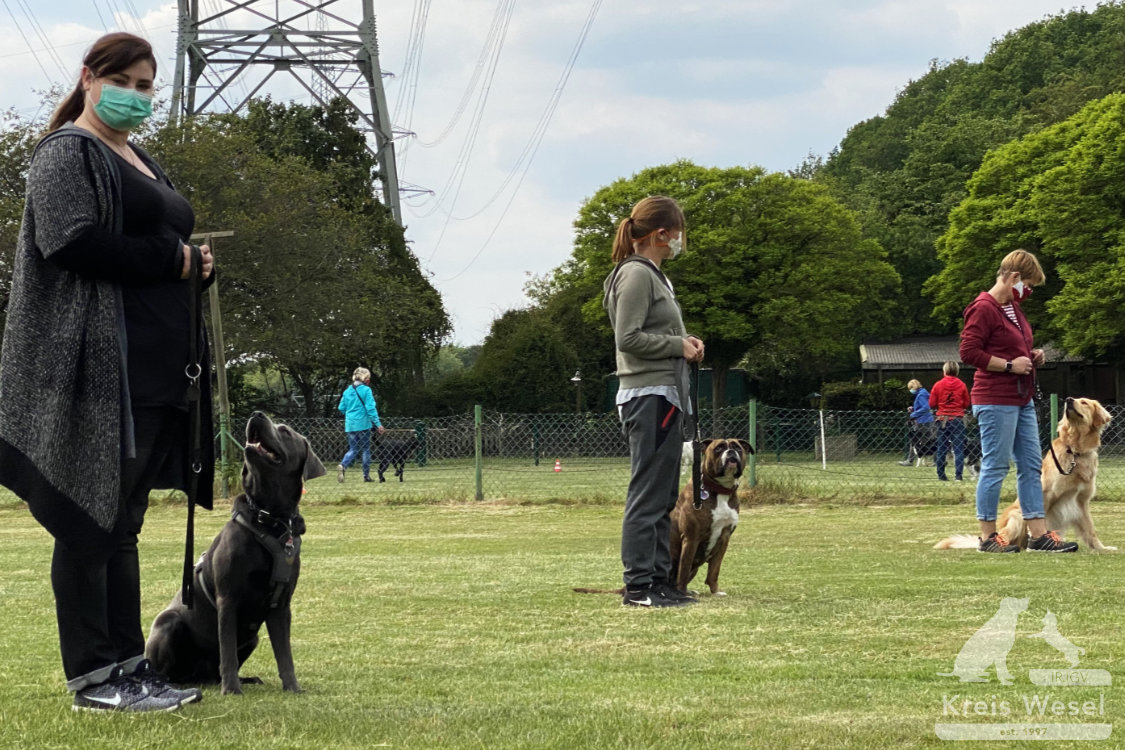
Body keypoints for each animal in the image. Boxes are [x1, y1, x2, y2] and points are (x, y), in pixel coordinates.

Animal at [670, 436, 751, 593]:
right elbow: (684, 568)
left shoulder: (724, 538)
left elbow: (714, 569)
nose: (730, 452)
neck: (720, 490)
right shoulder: (691, 538)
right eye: (718, 448)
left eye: (737, 448)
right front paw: (682, 592)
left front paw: (715, 591)